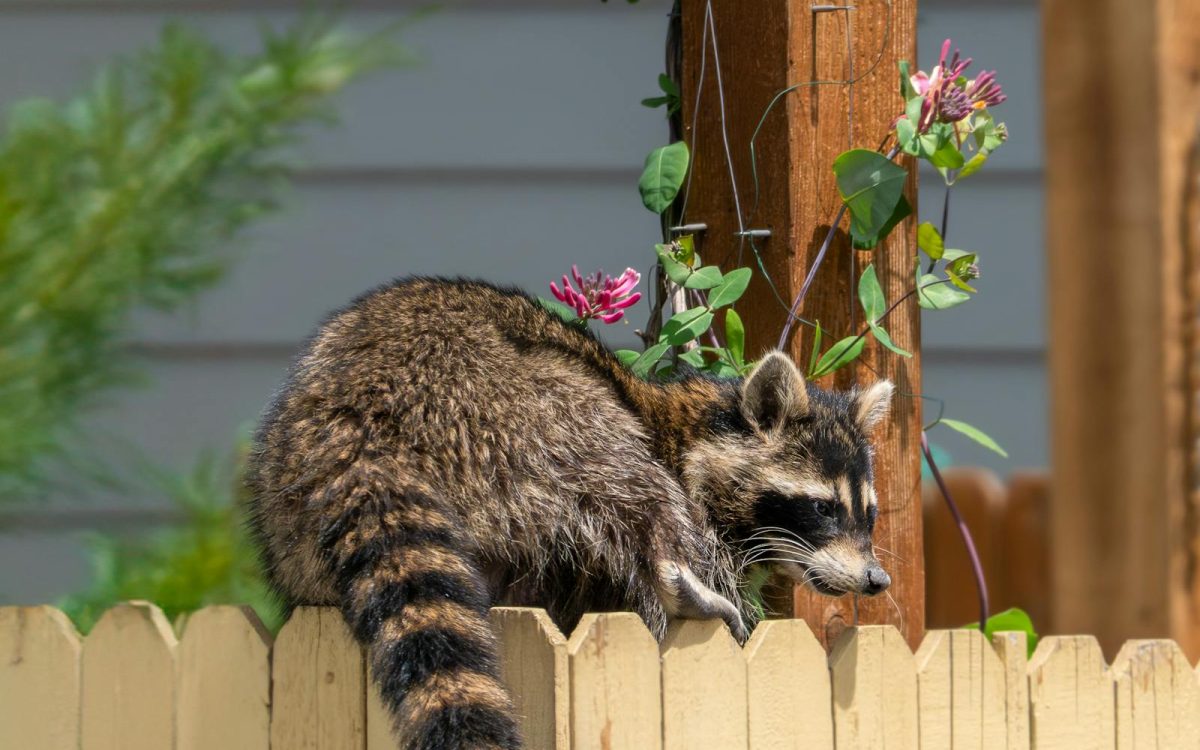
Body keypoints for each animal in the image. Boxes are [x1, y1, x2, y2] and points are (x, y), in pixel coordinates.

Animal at [246, 277, 893, 750]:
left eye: (869, 516)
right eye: (822, 509)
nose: (876, 579)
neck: (694, 429)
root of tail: (355, 415)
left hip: (289, 513)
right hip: (511, 402)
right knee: (627, 475)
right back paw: (673, 571)